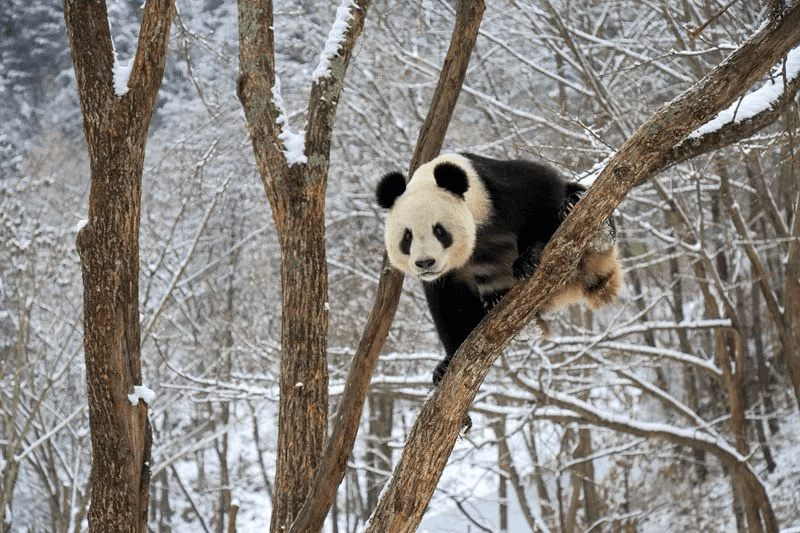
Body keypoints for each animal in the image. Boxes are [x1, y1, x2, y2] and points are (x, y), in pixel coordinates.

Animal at [378, 153, 620, 382]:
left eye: (439, 231)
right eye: (407, 236)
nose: (425, 263)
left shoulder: (496, 191)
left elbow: (542, 192)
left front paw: (529, 258)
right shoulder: (447, 274)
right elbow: (450, 304)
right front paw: (446, 364)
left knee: (584, 208)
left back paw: (585, 218)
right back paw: (497, 301)